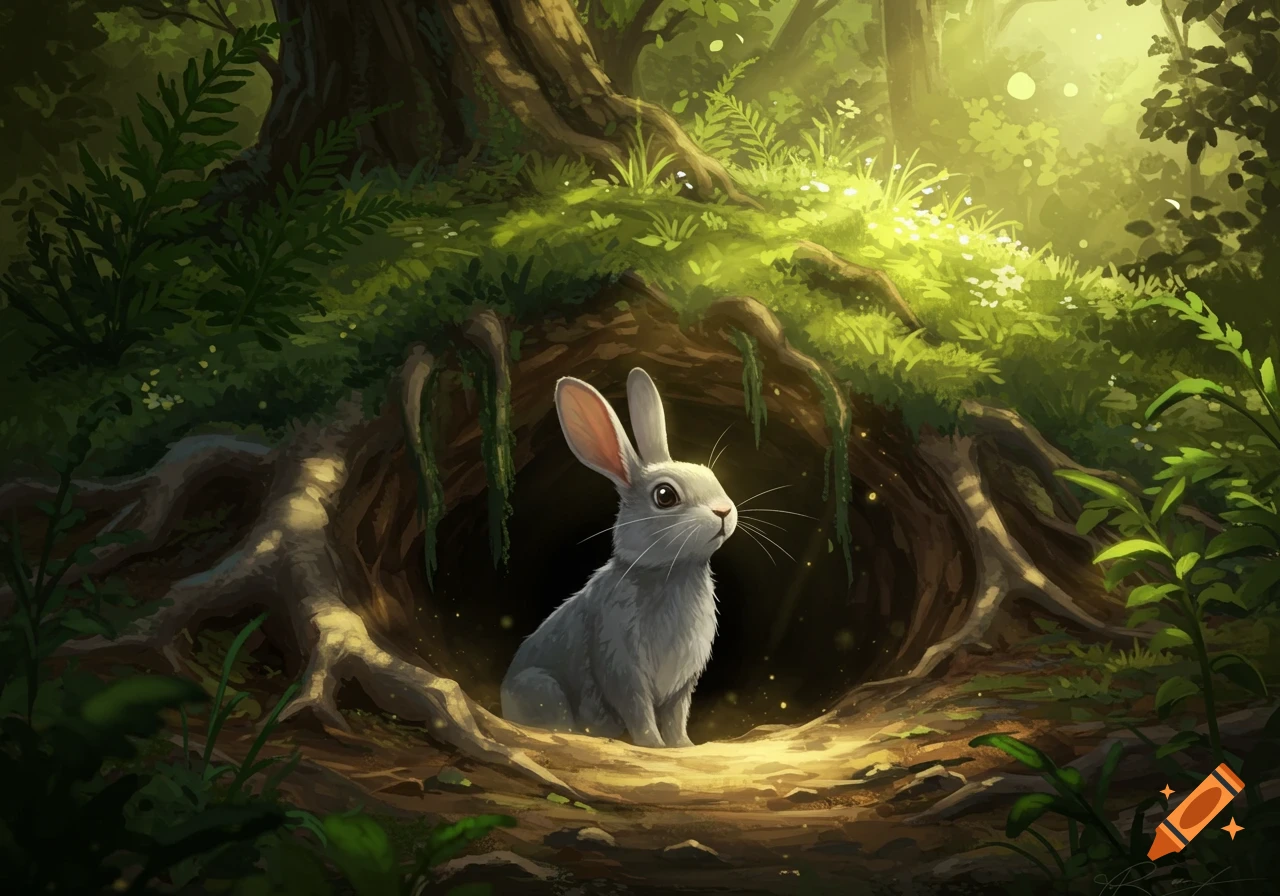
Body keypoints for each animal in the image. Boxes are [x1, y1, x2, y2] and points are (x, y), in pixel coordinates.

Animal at [500, 367, 737, 748]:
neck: (669, 573)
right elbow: (639, 711)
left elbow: (676, 716)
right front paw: (654, 746)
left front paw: (684, 747)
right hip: (542, 688)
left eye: (710, 474)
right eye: (665, 495)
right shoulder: (619, 662)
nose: (724, 511)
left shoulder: (682, 683)